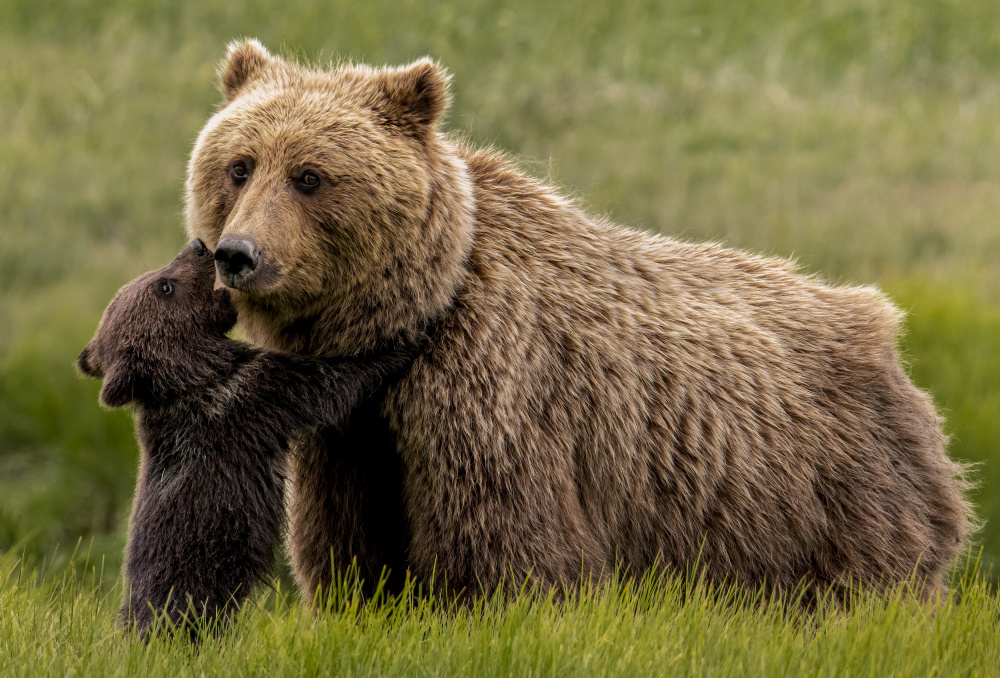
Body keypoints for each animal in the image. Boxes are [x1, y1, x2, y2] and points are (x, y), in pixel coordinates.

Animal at [78, 240, 422, 636]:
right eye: (164, 286)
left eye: (157, 277)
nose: (198, 246)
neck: (196, 375)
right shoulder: (257, 394)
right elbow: (330, 383)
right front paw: (405, 341)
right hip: (196, 576)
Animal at [184, 38, 972, 600]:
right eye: (239, 165)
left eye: (310, 176)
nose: (238, 254)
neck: (415, 319)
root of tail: (886, 331)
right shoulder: (354, 430)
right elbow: (351, 555)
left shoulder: (495, 394)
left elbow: (510, 554)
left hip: (834, 498)